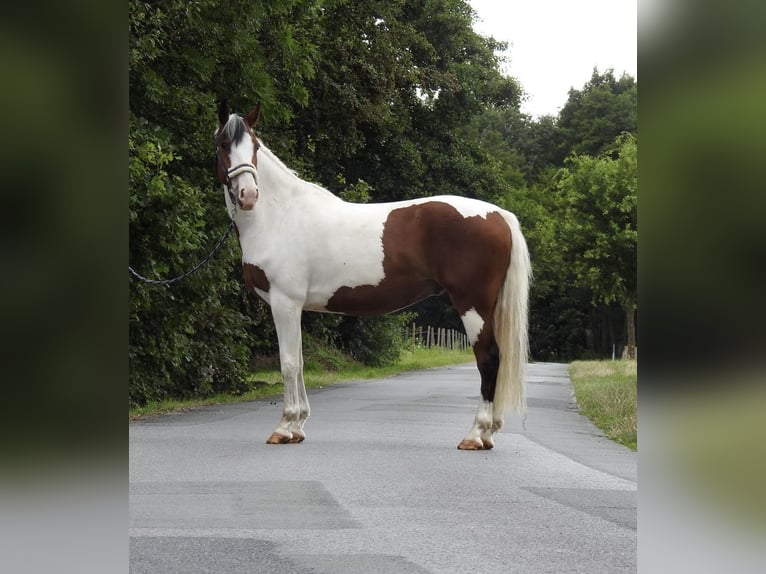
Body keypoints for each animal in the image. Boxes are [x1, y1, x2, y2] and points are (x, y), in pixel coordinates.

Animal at [214, 103, 531, 450]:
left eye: (255, 146)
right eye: (223, 144)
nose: (248, 195)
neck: (281, 215)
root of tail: (499, 215)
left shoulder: (285, 302)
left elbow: (287, 364)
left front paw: (284, 427)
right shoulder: (295, 307)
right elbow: (298, 363)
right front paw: (297, 426)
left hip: (472, 305)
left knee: (488, 360)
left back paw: (475, 434)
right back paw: (488, 432)